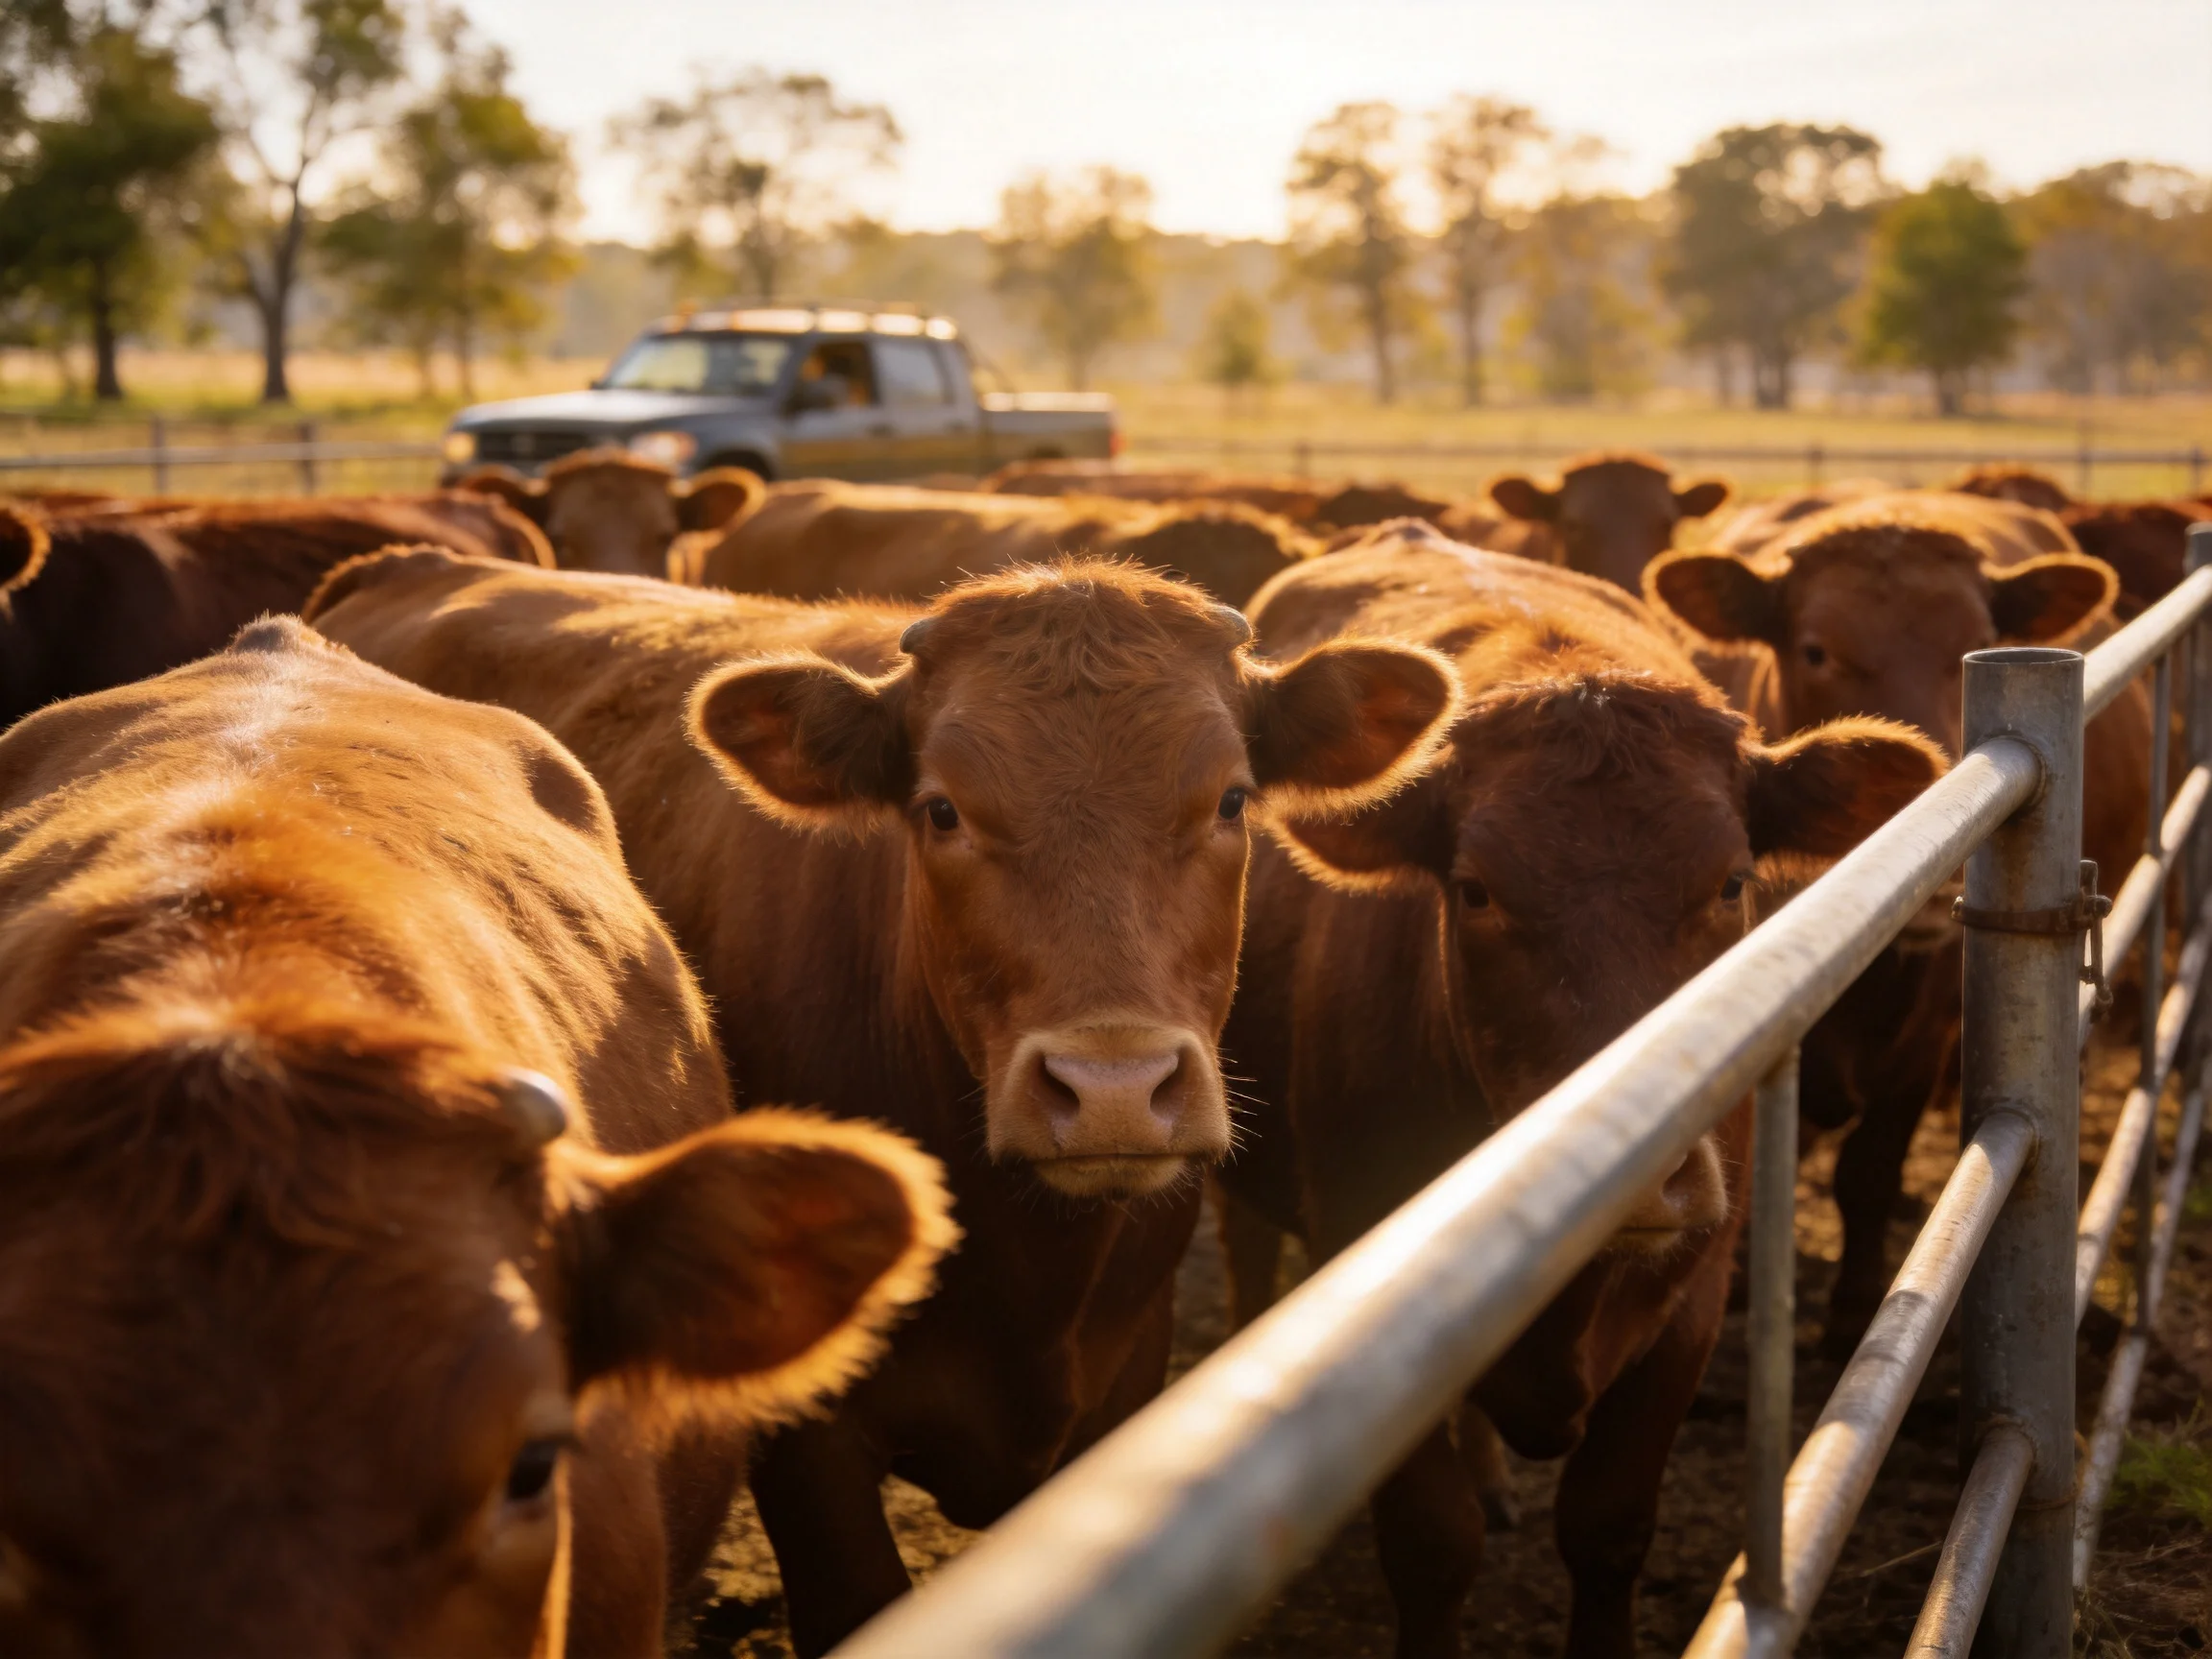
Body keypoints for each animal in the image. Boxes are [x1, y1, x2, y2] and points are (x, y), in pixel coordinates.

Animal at [302, 548, 1462, 1654]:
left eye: (1231, 799)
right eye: (940, 809)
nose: (1114, 1088)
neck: (1031, 1277)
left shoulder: (1128, 1370)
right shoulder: (808, 1448)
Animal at [1217, 521, 1942, 1659]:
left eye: (1732, 881)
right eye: (1475, 892)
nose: (1643, 1174)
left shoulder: (1691, 1305)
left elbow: (1607, 1527)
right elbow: (1432, 1547)